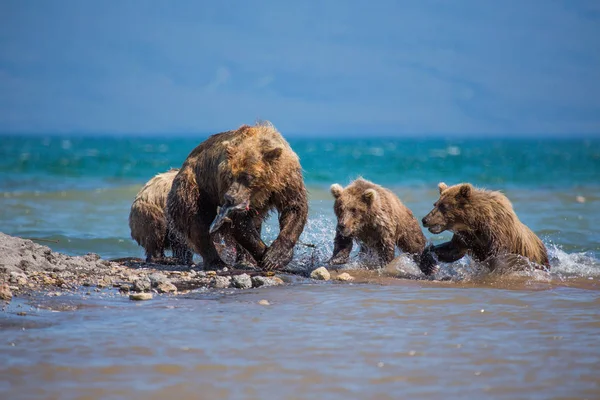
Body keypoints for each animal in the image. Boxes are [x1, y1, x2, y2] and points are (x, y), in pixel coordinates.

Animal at [166, 122, 308, 270]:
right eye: (230, 176)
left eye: (247, 176)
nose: (230, 197)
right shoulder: (222, 183)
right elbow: (240, 224)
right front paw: (267, 257)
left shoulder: (287, 179)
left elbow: (294, 208)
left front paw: (276, 255)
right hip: (194, 190)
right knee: (198, 225)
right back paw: (217, 262)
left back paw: (245, 260)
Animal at [420, 184, 552, 276]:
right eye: (435, 204)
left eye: (444, 206)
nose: (425, 219)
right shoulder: (467, 238)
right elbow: (452, 250)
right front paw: (428, 262)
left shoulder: (498, 235)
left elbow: (499, 260)